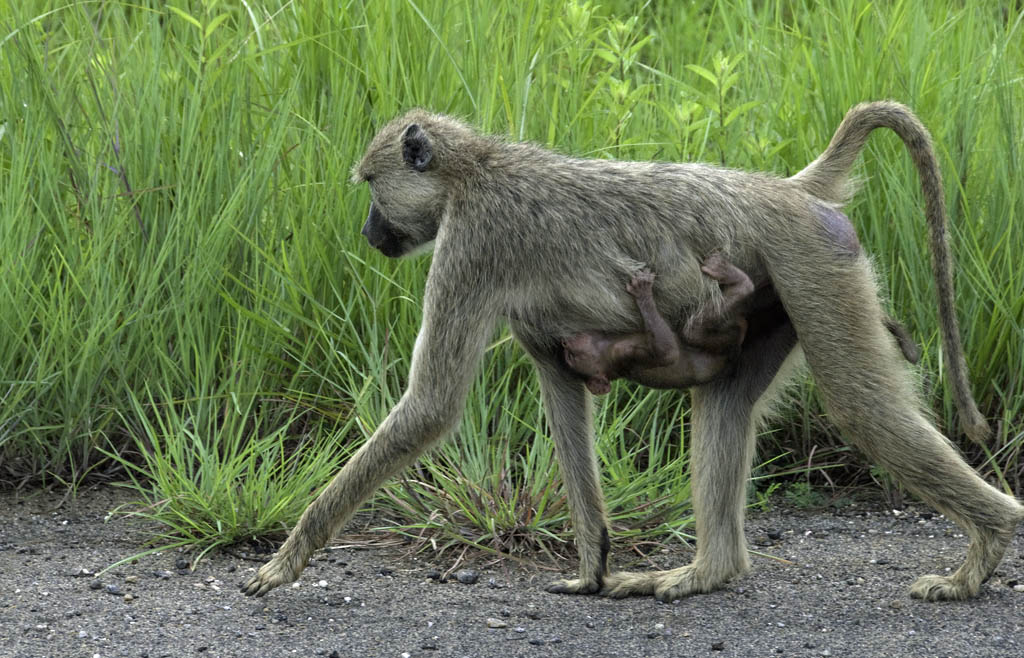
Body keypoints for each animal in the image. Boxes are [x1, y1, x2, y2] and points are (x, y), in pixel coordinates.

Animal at [242, 102, 1022, 604]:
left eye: (372, 186)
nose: (370, 233)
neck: (474, 171)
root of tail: (787, 191)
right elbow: (562, 396)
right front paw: (591, 567)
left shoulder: (472, 246)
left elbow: (432, 406)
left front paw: (285, 561)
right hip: (773, 297)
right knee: (725, 401)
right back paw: (705, 573)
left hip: (814, 269)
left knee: (860, 408)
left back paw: (979, 558)